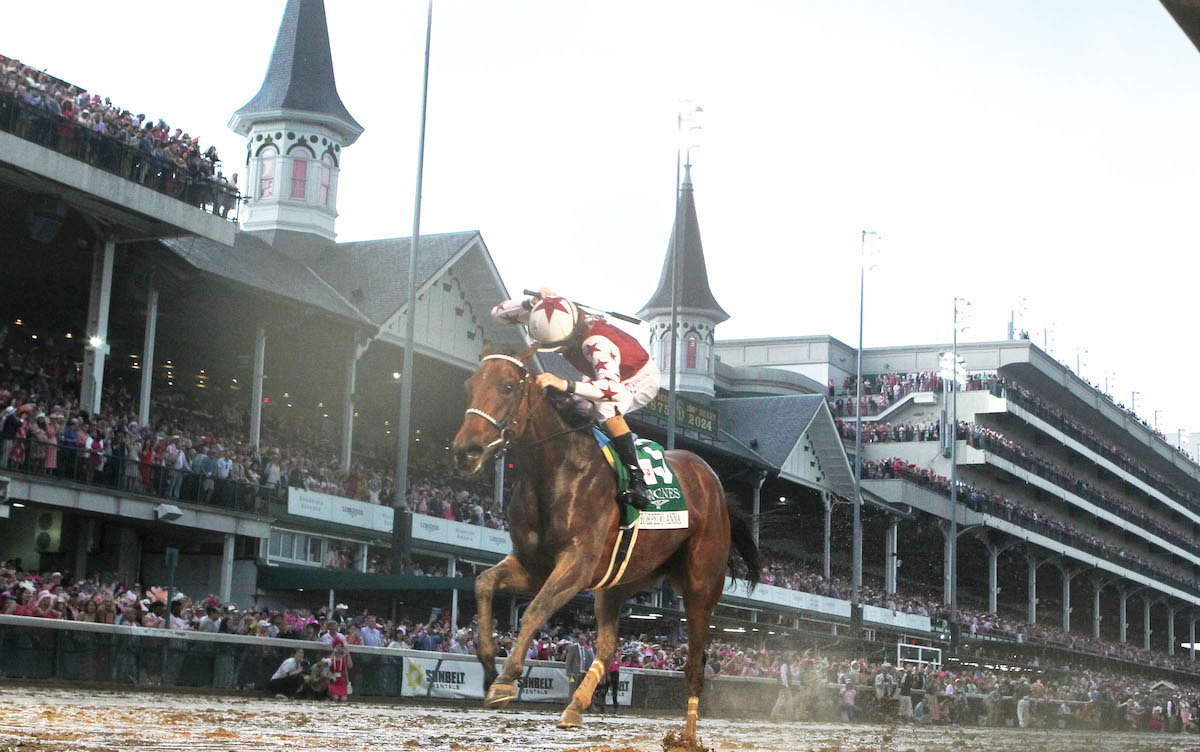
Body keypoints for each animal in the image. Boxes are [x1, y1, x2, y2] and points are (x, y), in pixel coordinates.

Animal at [451, 347, 758, 748]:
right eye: (469, 385)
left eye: (506, 386)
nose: (465, 451)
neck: (558, 470)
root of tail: (714, 483)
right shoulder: (534, 566)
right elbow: (484, 583)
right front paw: (489, 667)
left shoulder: (576, 564)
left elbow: (534, 610)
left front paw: (506, 679)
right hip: (620, 580)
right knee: (609, 646)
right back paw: (575, 706)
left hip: (701, 588)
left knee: (695, 663)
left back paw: (687, 737)